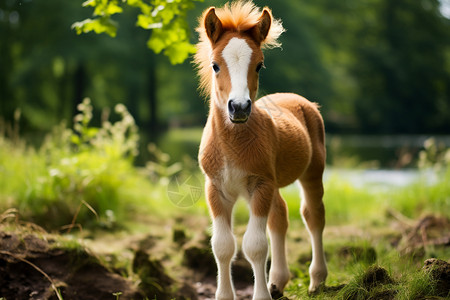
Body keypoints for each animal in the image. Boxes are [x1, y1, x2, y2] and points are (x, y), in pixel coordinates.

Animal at [195, 1, 328, 298]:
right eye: (215, 65)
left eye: (259, 66)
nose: (239, 107)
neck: (231, 146)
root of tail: (299, 99)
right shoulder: (215, 188)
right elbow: (222, 245)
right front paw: (225, 295)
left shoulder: (260, 185)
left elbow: (254, 245)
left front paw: (261, 294)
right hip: (274, 184)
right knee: (280, 216)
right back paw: (277, 282)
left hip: (312, 173)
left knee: (313, 216)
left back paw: (317, 279)